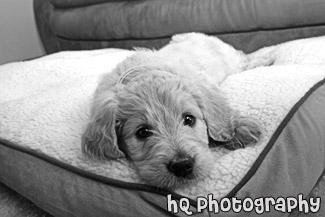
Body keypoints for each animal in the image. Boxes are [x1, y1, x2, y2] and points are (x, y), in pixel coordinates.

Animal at [81, 32, 266, 188]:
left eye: (189, 119)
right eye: (142, 132)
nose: (182, 165)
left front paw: (238, 129)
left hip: (231, 59)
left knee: (246, 60)